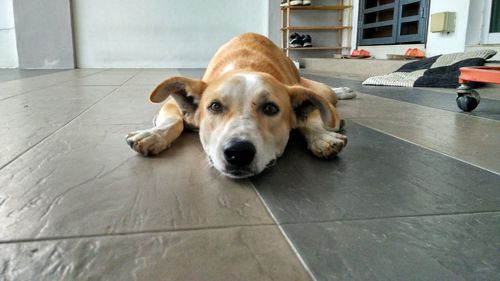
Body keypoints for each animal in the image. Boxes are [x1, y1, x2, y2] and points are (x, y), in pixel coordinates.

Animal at [127, 32, 358, 177]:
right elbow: (173, 120)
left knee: (329, 95)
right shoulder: (173, 106)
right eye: (214, 106)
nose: (238, 152)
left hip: (317, 90)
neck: (245, 66)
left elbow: (311, 121)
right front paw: (152, 135)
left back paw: (343, 92)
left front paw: (323, 137)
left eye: (270, 108)